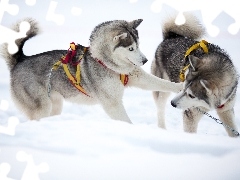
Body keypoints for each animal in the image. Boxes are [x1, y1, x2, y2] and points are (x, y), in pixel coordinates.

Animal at [0, 17, 182, 122]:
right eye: (131, 48)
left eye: (138, 45)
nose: (144, 60)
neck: (106, 63)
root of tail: (20, 60)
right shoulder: (112, 103)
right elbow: (125, 120)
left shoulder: (136, 76)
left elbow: (161, 82)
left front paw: (180, 86)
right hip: (42, 106)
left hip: (55, 105)